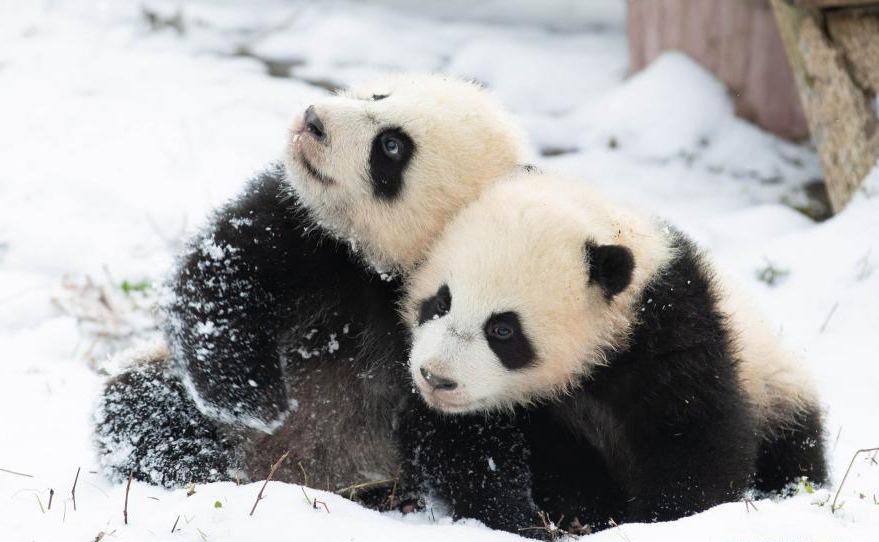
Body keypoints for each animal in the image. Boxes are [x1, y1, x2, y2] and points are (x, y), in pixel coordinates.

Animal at [95, 73, 530, 492]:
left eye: (392, 147)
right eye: (379, 96)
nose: (313, 119)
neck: (380, 268)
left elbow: (469, 431)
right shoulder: (303, 227)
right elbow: (224, 275)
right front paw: (254, 399)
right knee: (142, 406)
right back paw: (192, 464)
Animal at [399, 171, 827, 535]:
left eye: (502, 330)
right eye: (441, 302)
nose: (436, 378)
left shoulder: (672, 330)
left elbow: (695, 434)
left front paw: (663, 520)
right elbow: (471, 447)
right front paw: (530, 517)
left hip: (774, 383)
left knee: (795, 448)